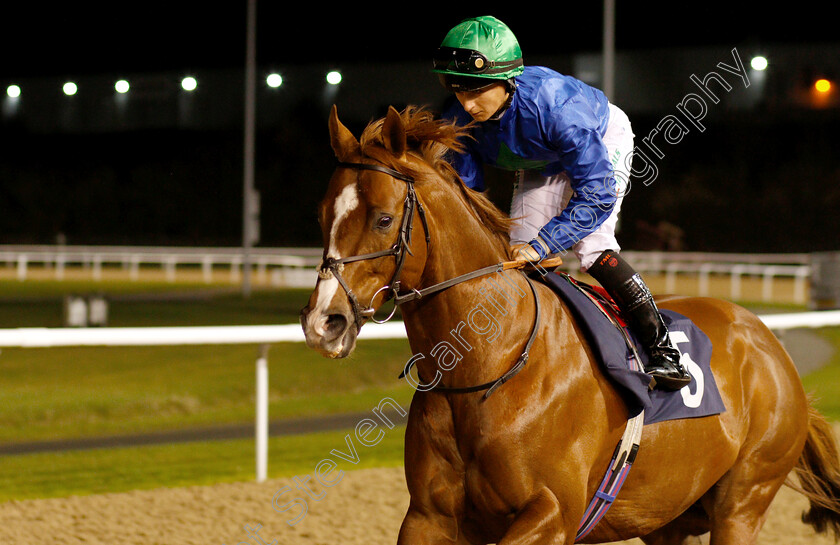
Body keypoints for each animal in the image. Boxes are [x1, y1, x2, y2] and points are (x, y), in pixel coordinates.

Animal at [298, 104, 836, 540]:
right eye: (322, 214)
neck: (490, 364)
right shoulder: (428, 517)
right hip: (668, 519)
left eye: (384, 219)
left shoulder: (552, 513)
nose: (324, 322)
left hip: (743, 502)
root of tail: (767, 342)